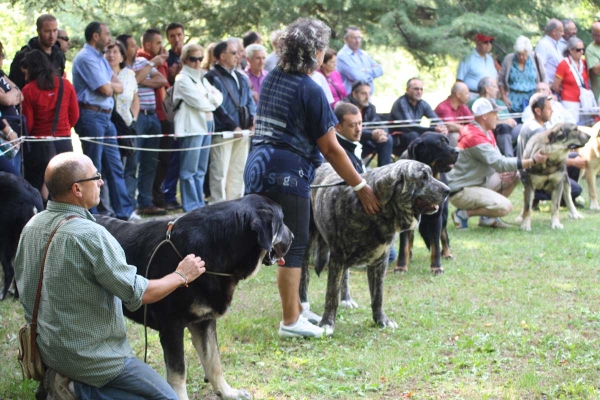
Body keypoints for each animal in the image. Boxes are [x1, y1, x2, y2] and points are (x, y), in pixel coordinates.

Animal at [95, 194, 290, 400]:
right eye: (282, 221)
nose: (293, 237)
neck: (217, 246)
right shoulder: (172, 327)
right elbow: (178, 373)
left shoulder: (204, 321)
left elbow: (214, 362)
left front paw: (227, 392)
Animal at [302, 160, 448, 334]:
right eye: (423, 177)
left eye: (431, 174)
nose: (448, 190)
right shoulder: (337, 259)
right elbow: (331, 295)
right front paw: (327, 323)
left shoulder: (379, 262)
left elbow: (378, 296)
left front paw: (381, 320)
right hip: (307, 243)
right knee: (304, 275)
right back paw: (303, 304)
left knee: (345, 276)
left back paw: (346, 299)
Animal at [396, 134, 458, 276]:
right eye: (440, 144)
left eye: (447, 142)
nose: (457, 151)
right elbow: (403, 244)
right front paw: (401, 266)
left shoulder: (436, 218)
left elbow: (435, 245)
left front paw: (437, 267)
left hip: (444, 215)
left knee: (444, 235)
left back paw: (447, 253)